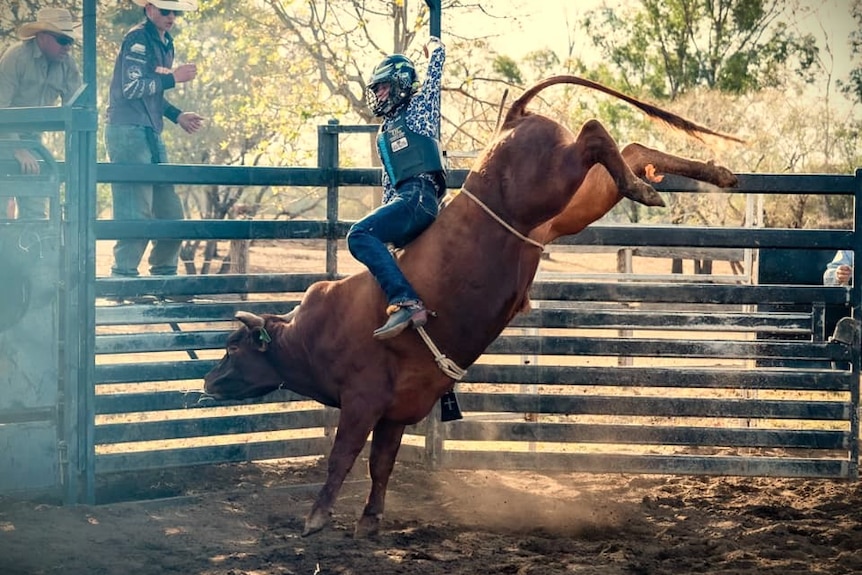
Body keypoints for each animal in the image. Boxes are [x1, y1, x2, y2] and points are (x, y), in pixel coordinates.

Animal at [204, 75, 744, 540]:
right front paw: (370, 521)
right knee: (626, 151)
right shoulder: (396, 412)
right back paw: (704, 174)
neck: (308, 335)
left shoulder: (361, 402)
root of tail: (512, 119)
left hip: (548, 183)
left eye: (232, 348)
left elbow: (343, 457)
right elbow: (381, 466)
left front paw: (316, 518)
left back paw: (643, 187)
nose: (208, 382)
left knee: (594, 132)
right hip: (565, 210)